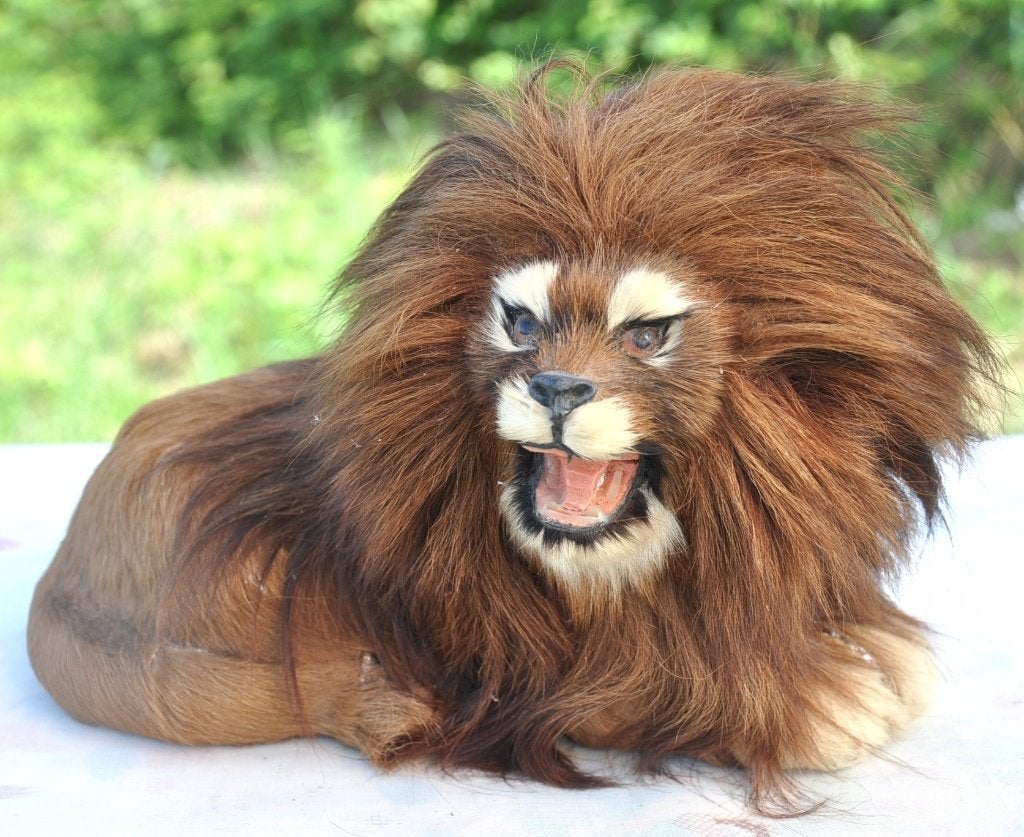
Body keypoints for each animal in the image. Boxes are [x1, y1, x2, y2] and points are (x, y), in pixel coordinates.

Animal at [27, 65, 998, 809]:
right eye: (522, 323)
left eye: (647, 335)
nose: (557, 387)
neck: (624, 573)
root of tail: (59, 578)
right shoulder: (521, 678)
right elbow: (668, 693)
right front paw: (820, 697)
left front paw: (860, 646)